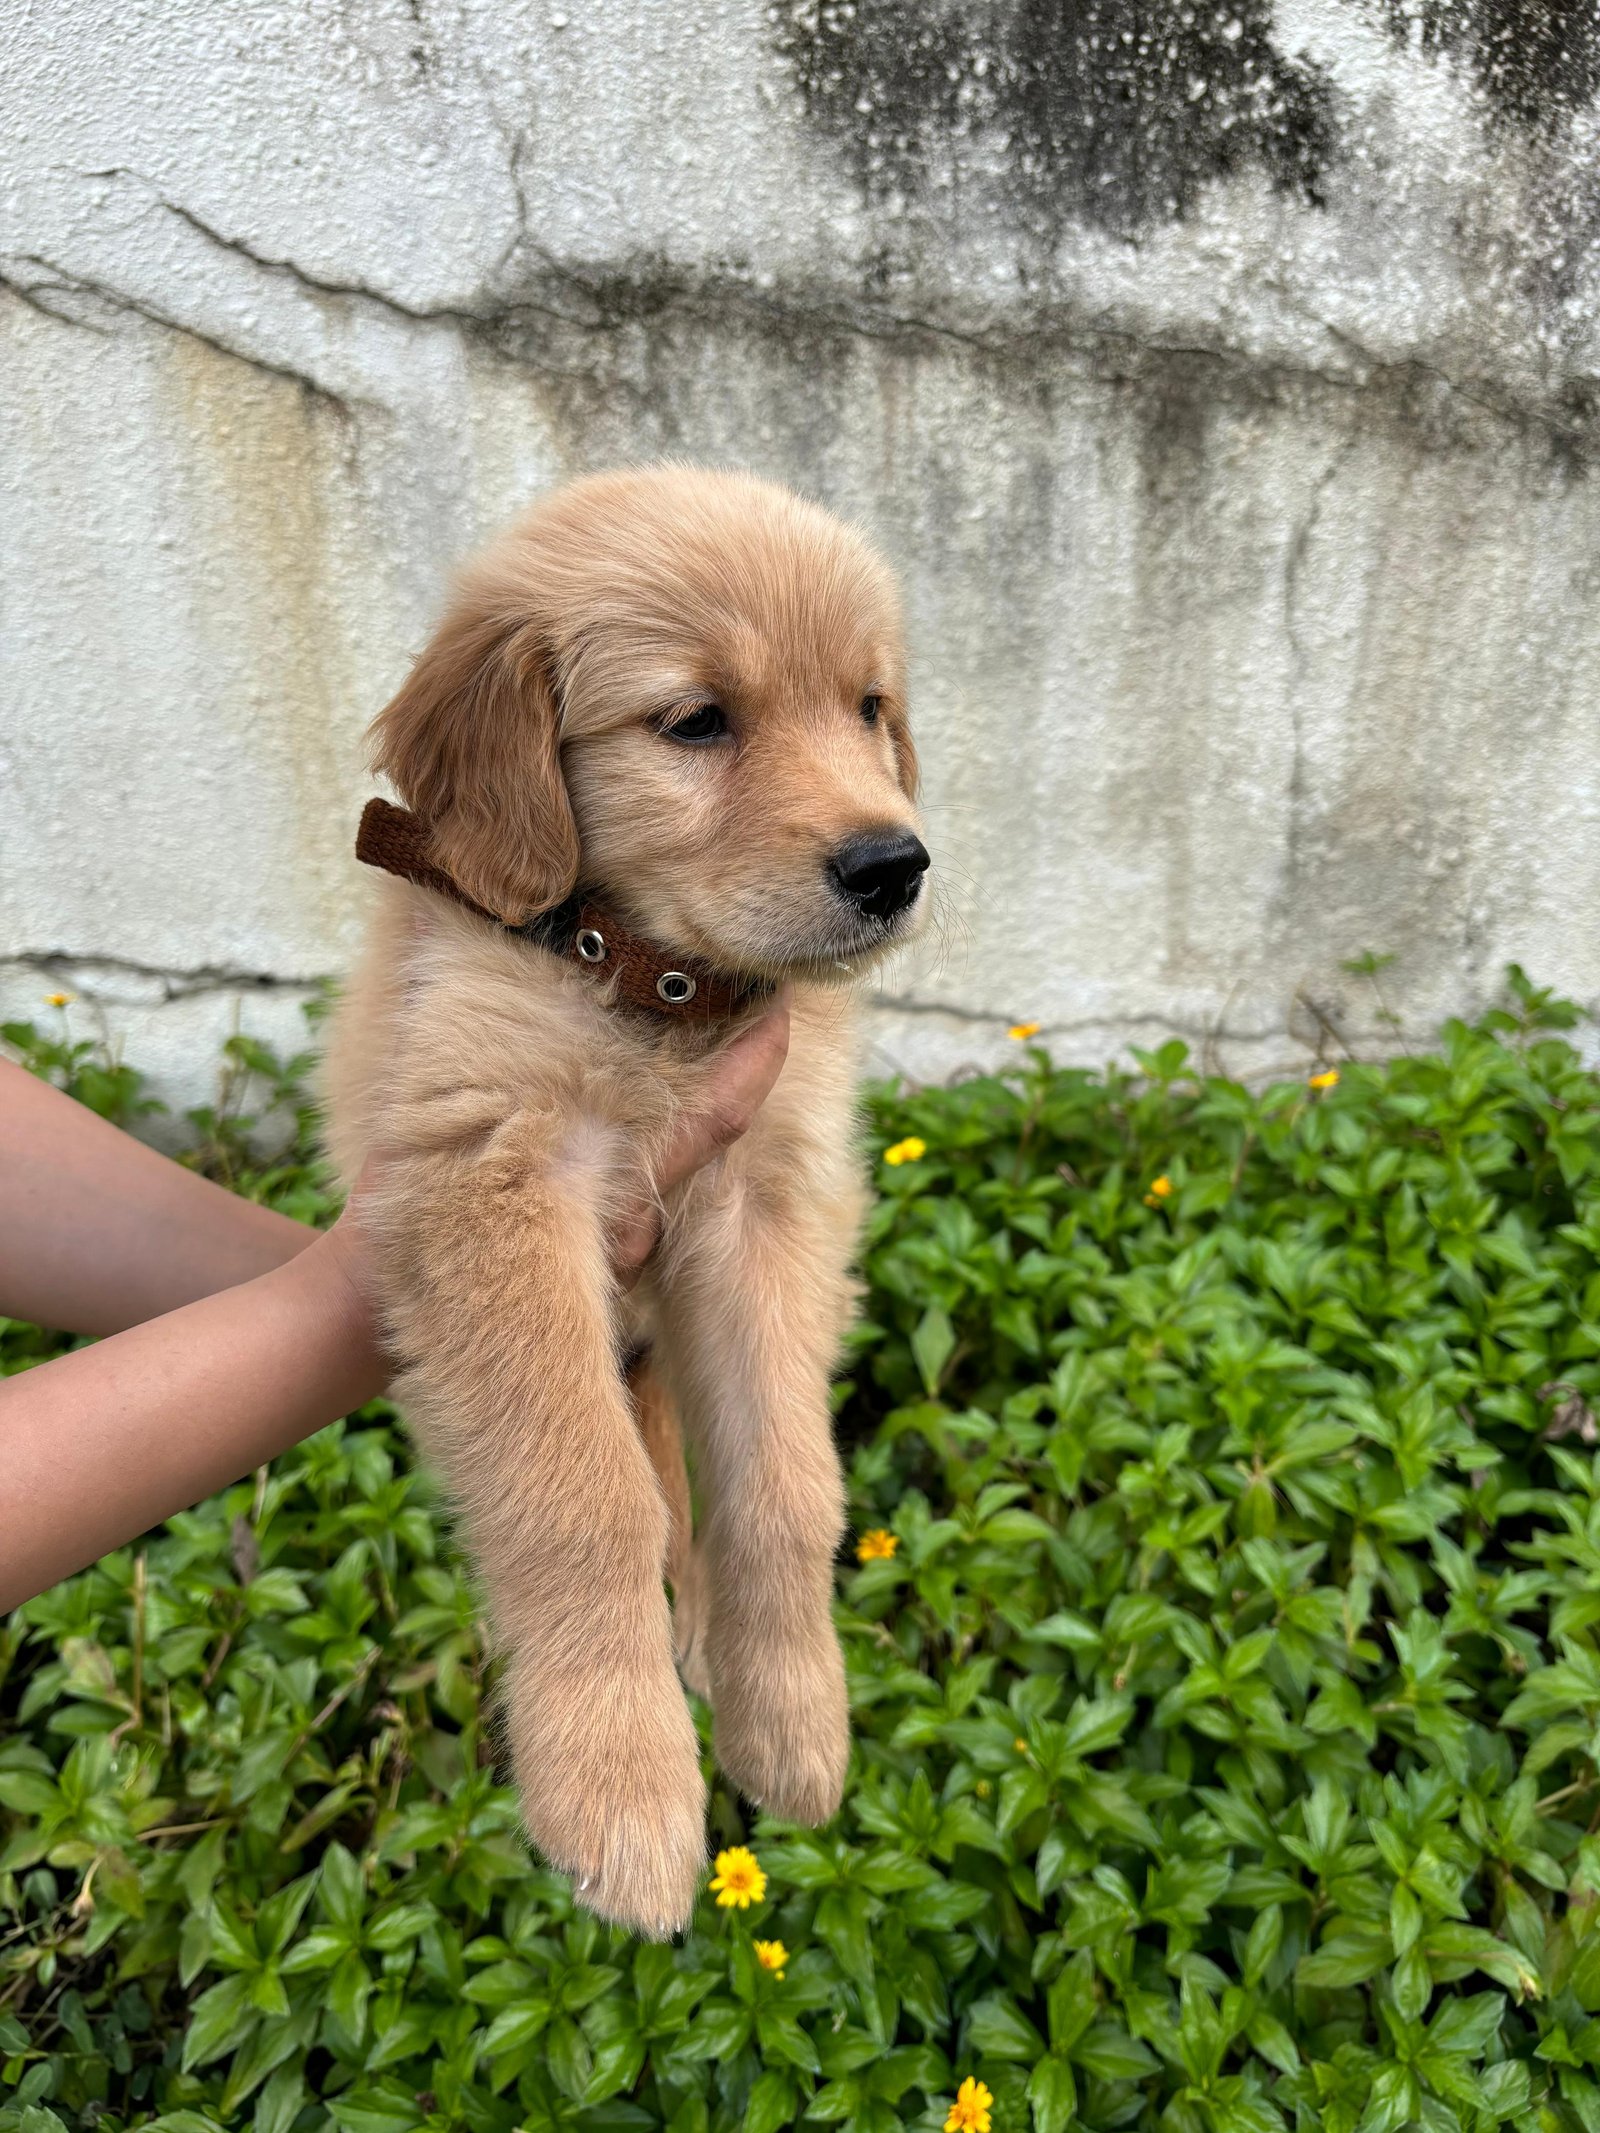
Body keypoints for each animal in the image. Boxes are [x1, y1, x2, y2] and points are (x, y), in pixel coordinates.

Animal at [326, 462, 925, 1936]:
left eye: (868, 707)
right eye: (696, 721)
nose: (894, 866)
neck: (651, 986)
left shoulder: (768, 1206)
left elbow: (783, 1485)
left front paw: (792, 1716)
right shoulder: (490, 1182)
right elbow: (580, 1492)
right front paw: (623, 1784)